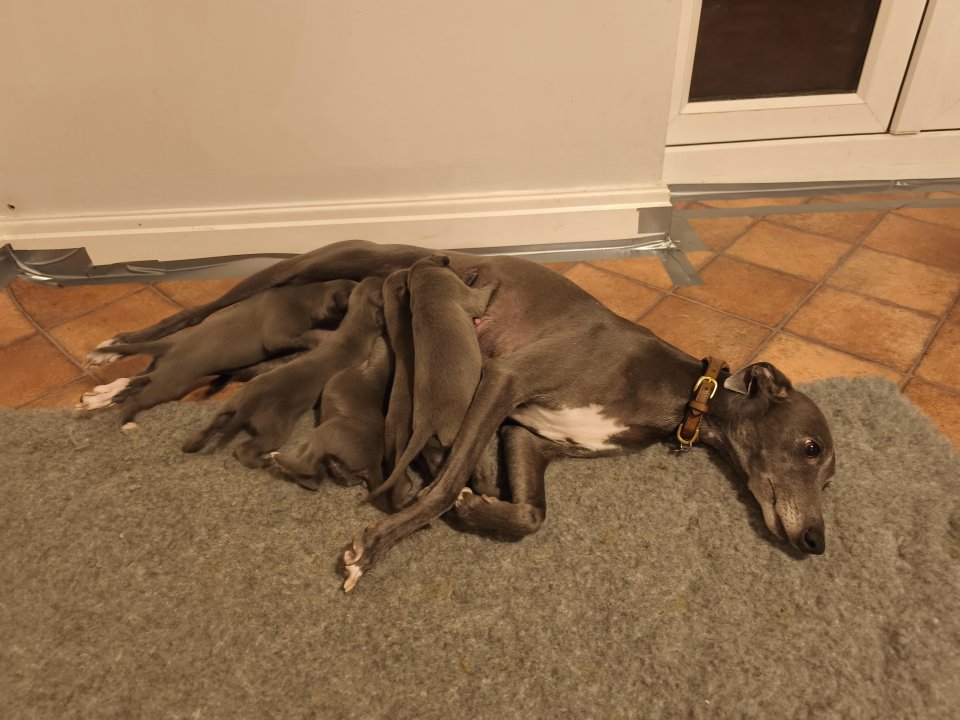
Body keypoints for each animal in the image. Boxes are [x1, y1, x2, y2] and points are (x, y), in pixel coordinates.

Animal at [180, 277, 384, 468]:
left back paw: (190, 445)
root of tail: (250, 402)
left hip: (231, 404)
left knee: (209, 426)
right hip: (275, 432)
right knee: (245, 450)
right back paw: (265, 462)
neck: (355, 325)